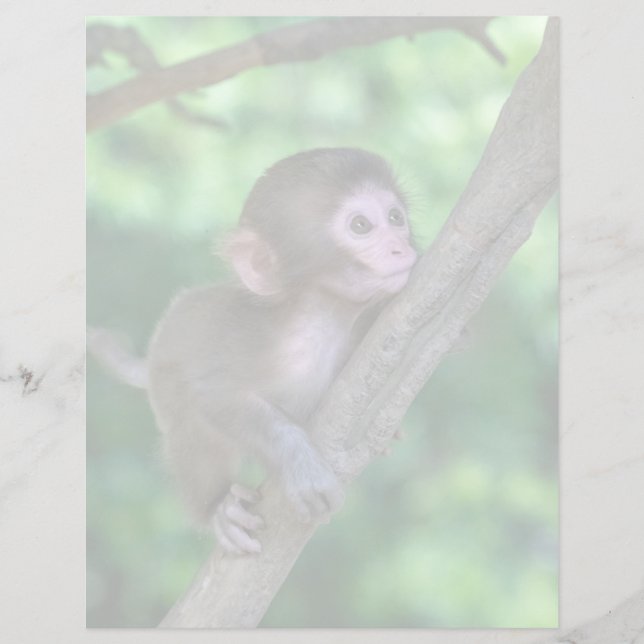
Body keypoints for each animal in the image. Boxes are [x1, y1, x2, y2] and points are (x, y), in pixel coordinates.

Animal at [90, 148, 418, 555]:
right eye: (361, 225)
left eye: (395, 217)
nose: (402, 247)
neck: (319, 322)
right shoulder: (247, 345)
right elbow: (212, 394)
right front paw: (299, 464)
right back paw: (217, 508)